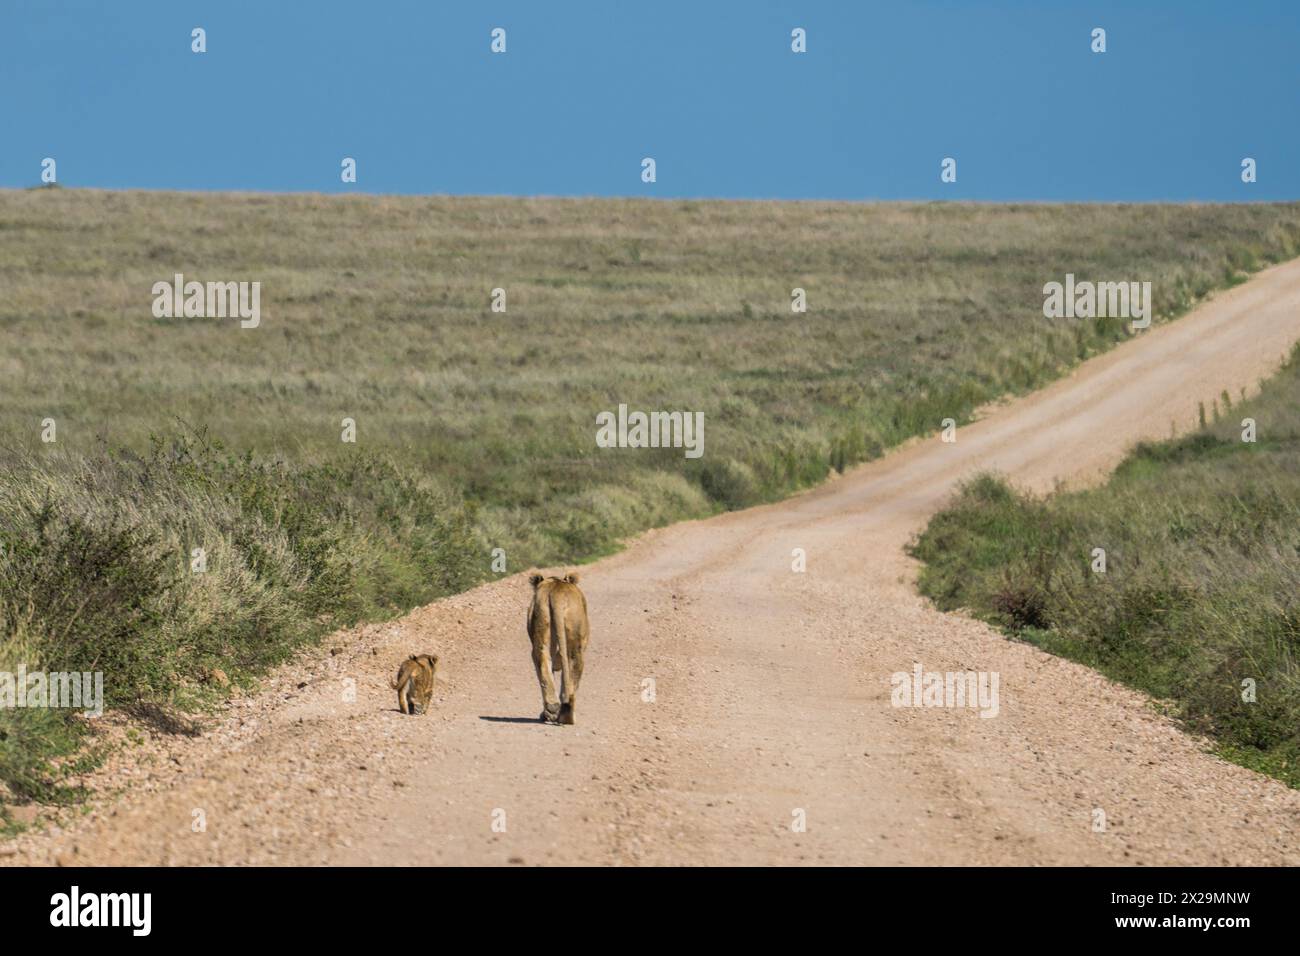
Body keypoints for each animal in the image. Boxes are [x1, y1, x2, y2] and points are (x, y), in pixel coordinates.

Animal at [527, 572, 590, 725]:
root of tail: (557, 592)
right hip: (574, 642)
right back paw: (562, 715)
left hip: (542, 621)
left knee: (544, 663)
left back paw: (555, 711)